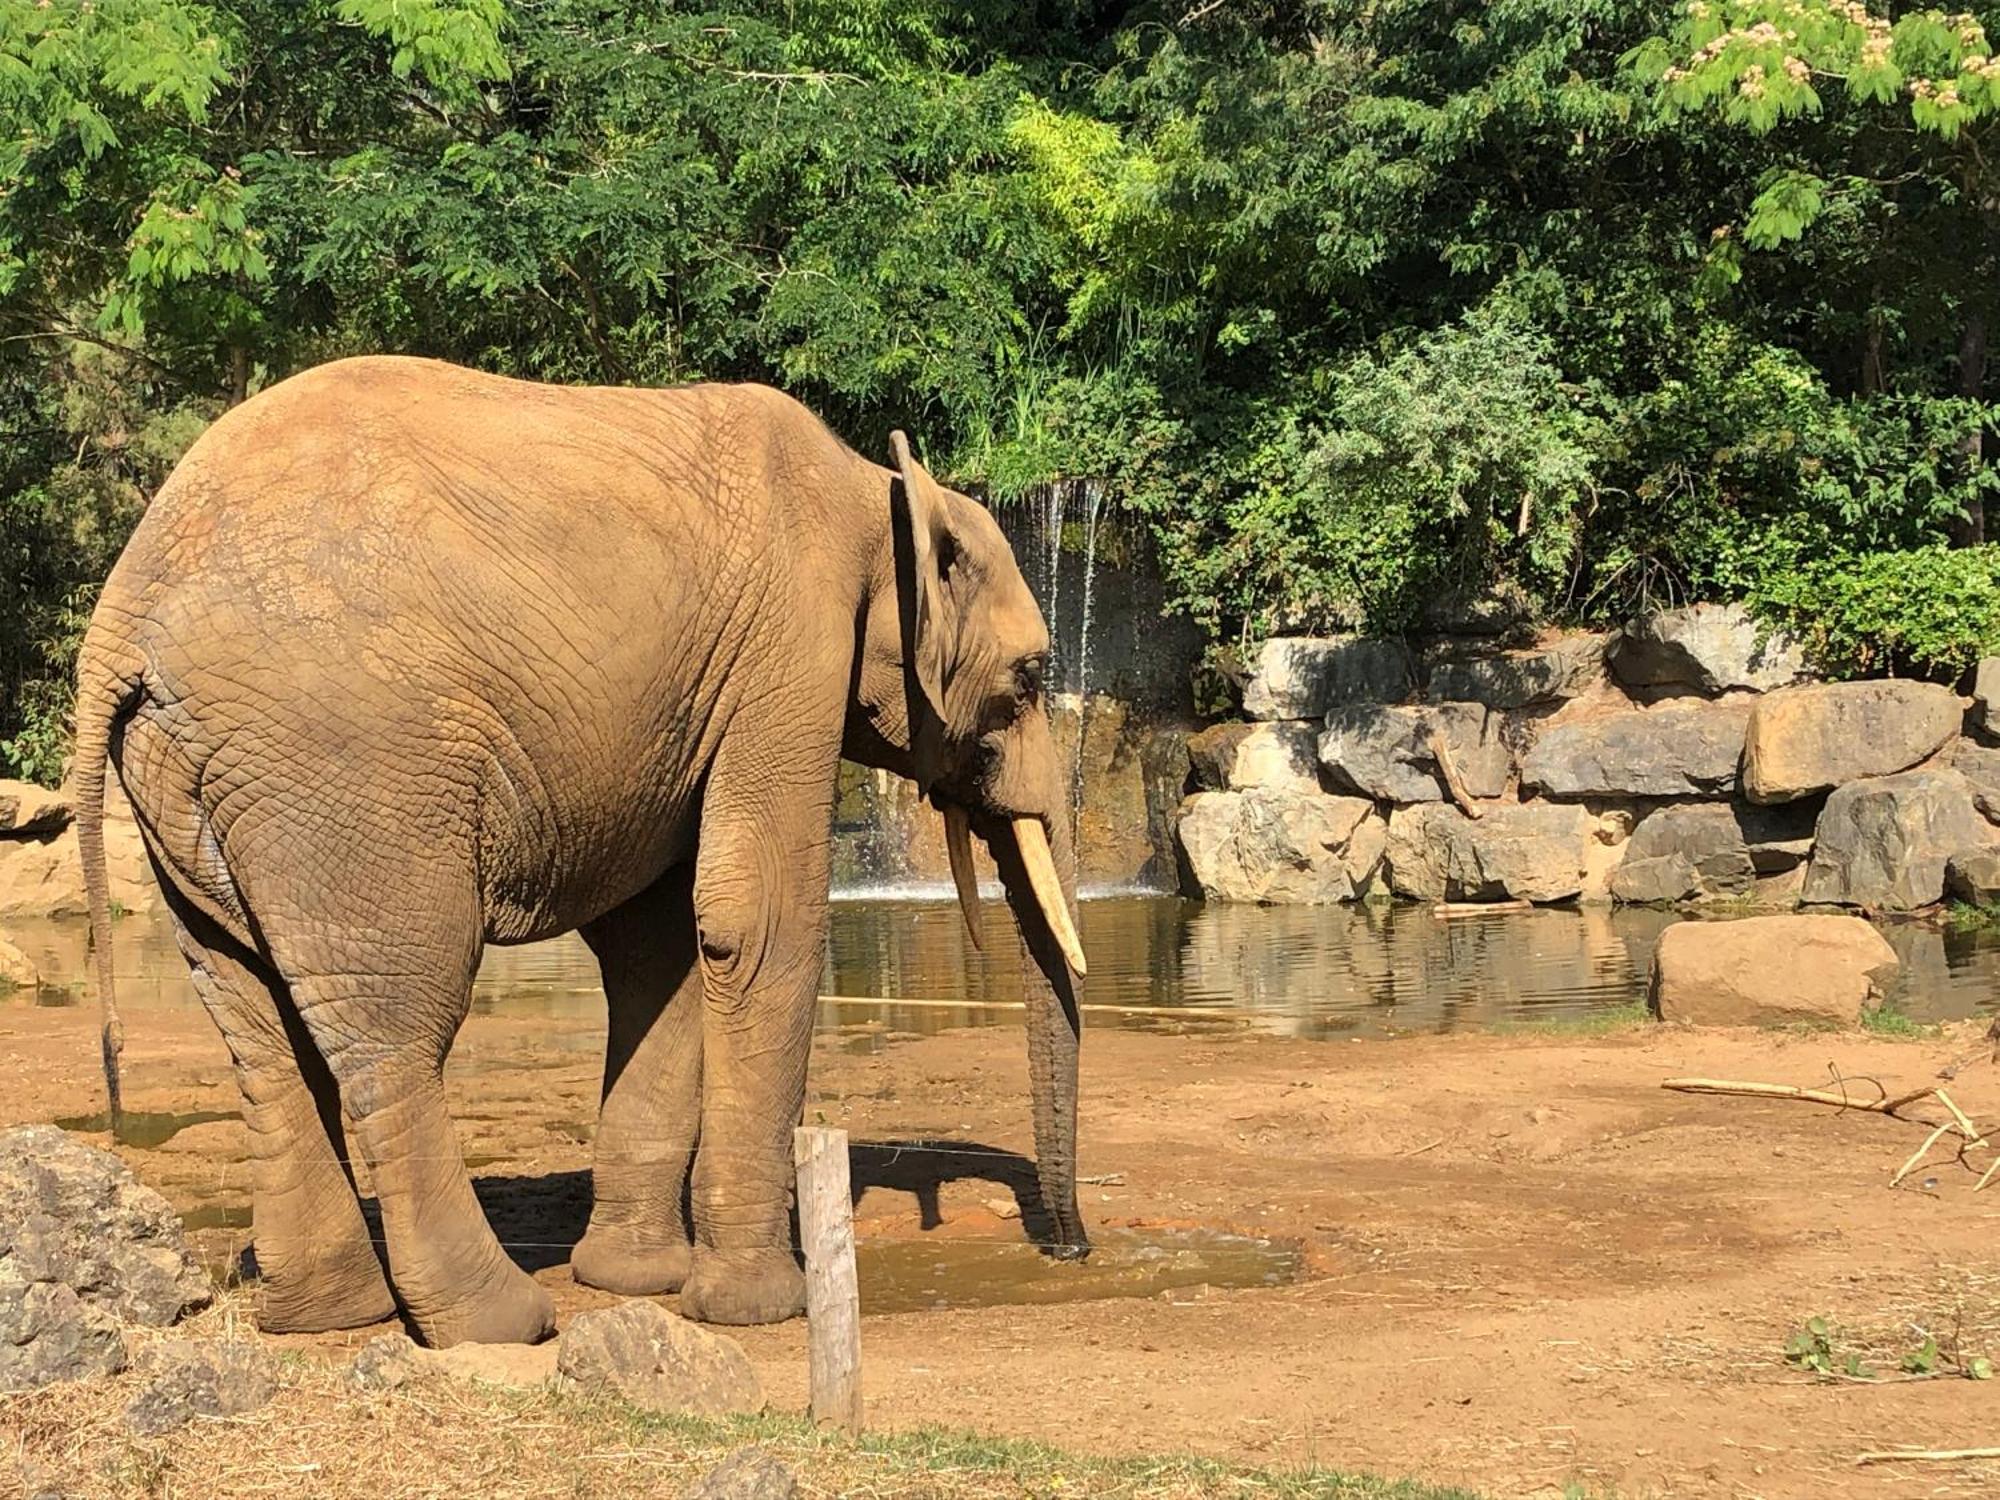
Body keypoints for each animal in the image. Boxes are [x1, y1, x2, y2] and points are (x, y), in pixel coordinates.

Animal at [74, 356, 1096, 1352]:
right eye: (1031, 679)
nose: (1074, 1249)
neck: (876, 486)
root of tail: (124, 613)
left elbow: (664, 944)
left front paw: (638, 1283)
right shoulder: (787, 648)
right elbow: (757, 923)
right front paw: (758, 1309)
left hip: (193, 782)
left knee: (253, 1017)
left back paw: (332, 1314)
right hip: (343, 764)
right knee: (397, 1019)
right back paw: (499, 1323)